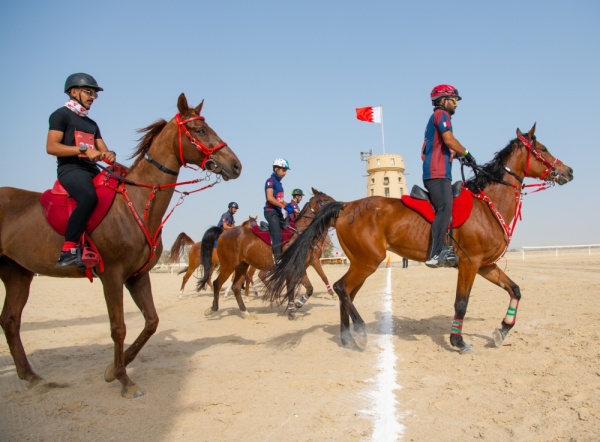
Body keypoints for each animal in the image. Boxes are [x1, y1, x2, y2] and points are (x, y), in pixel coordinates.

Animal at [0, 93, 241, 398]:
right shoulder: (112, 275)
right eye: (200, 130)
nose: (236, 165)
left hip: (18, 273)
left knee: (10, 320)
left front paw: (114, 369)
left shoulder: (137, 276)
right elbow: (119, 327)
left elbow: (151, 322)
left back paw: (31, 377)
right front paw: (125, 380)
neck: (136, 203)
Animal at [198, 188, 336, 320]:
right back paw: (213, 309)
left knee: (236, 286)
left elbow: (309, 288)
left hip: (242, 265)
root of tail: (222, 233)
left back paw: (245, 312)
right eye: (326, 200)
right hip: (229, 265)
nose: (340, 207)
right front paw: (292, 311)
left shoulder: (300, 268)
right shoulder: (294, 268)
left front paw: (297, 305)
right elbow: (294, 288)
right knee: (217, 283)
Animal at [264, 125, 576, 352]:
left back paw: (347, 338)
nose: (569, 171)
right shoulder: (469, 265)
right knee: (342, 288)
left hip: (362, 263)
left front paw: (502, 330)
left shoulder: (486, 265)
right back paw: (360, 333)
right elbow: (461, 303)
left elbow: (515, 290)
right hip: (368, 261)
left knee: (346, 292)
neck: (487, 204)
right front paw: (457, 341)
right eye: (542, 149)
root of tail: (347, 206)